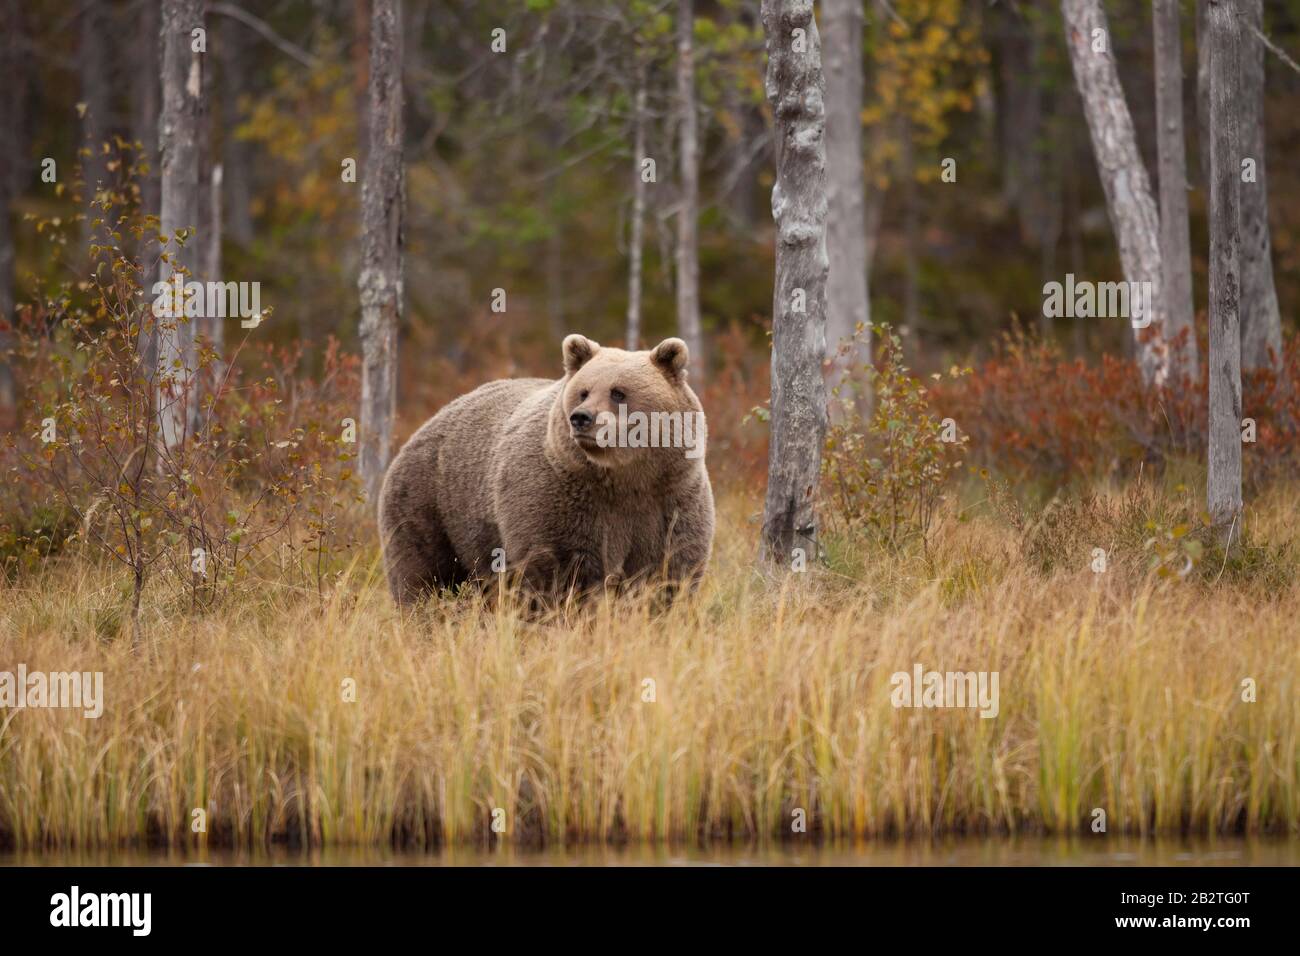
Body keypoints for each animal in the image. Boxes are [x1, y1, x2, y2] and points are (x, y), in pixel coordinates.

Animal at [379, 335, 717, 606]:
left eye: (618, 392)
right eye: (583, 391)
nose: (581, 417)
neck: (624, 480)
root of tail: (426, 423)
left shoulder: (670, 501)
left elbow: (670, 572)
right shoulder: (559, 502)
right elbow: (561, 571)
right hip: (431, 507)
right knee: (423, 576)